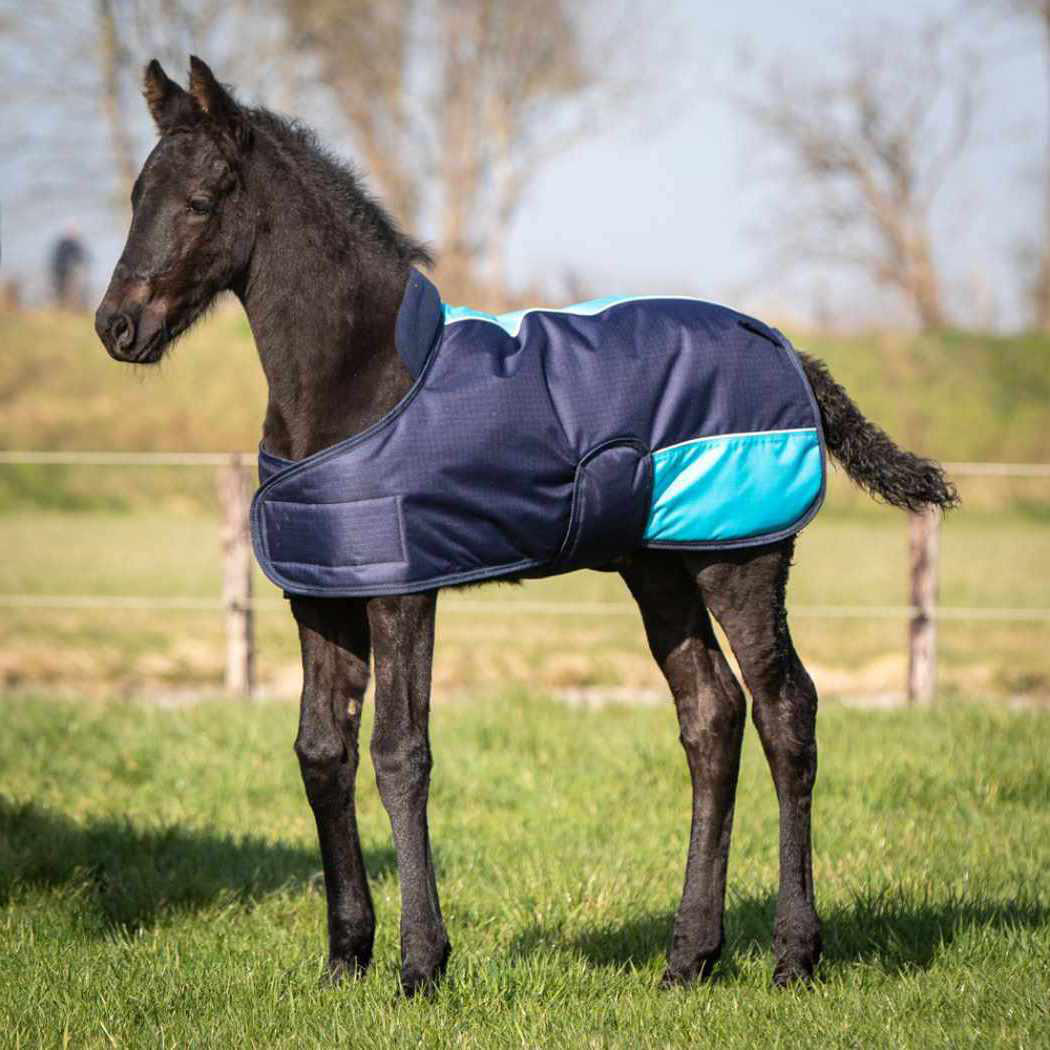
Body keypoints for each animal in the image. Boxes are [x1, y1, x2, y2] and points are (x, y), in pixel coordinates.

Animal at [95, 56, 957, 995]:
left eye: (202, 200)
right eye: (136, 194)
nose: (117, 326)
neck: (362, 381)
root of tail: (789, 351)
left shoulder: (403, 591)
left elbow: (400, 754)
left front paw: (420, 966)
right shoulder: (321, 595)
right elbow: (322, 752)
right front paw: (344, 959)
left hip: (743, 558)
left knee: (784, 712)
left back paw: (794, 955)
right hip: (661, 568)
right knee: (712, 716)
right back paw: (688, 958)